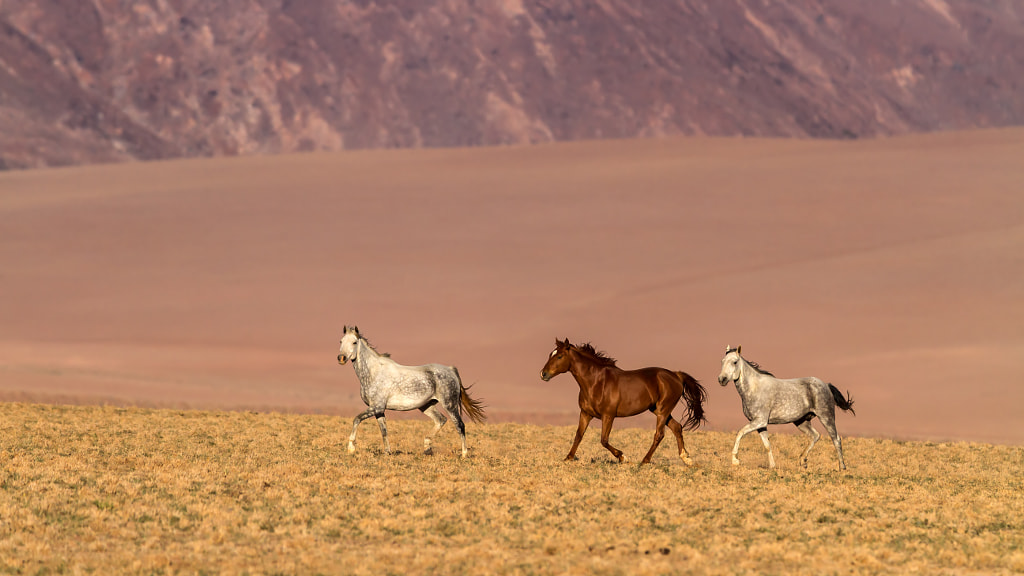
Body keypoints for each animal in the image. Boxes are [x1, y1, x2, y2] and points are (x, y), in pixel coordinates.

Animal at [337, 325, 485, 455]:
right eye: (341, 341)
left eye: (354, 342)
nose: (341, 358)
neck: (374, 373)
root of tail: (451, 370)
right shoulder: (379, 410)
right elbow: (384, 430)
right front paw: (387, 452)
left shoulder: (376, 407)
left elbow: (356, 419)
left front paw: (351, 448)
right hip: (426, 405)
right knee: (441, 420)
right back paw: (427, 448)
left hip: (450, 405)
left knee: (459, 425)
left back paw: (464, 454)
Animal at [540, 338, 708, 463]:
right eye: (550, 354)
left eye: (559, 356)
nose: (543, 374)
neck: (595, 382)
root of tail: (675, 375)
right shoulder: (585, 414)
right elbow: (578, 435)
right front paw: (567, 458)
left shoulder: (608, 416)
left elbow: (604, 440)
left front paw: (623, 457)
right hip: (658, 410)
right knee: (677, 427)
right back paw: (686, 458)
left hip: (663, 410)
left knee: (659, 434)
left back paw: (644, 461)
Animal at [720, 342, 856, 469]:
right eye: (722, 361)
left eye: (735, 362)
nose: (722, 379)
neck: (754, 388)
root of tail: (826, 385)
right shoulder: (760, 425)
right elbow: (767, 445)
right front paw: (772, 466)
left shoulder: (759, 421)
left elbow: (740, 433)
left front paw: (735, 461)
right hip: (801, 421)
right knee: (815, 435)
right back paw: (802, 460)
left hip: (826, 417)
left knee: (836, 439)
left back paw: (842, 467)